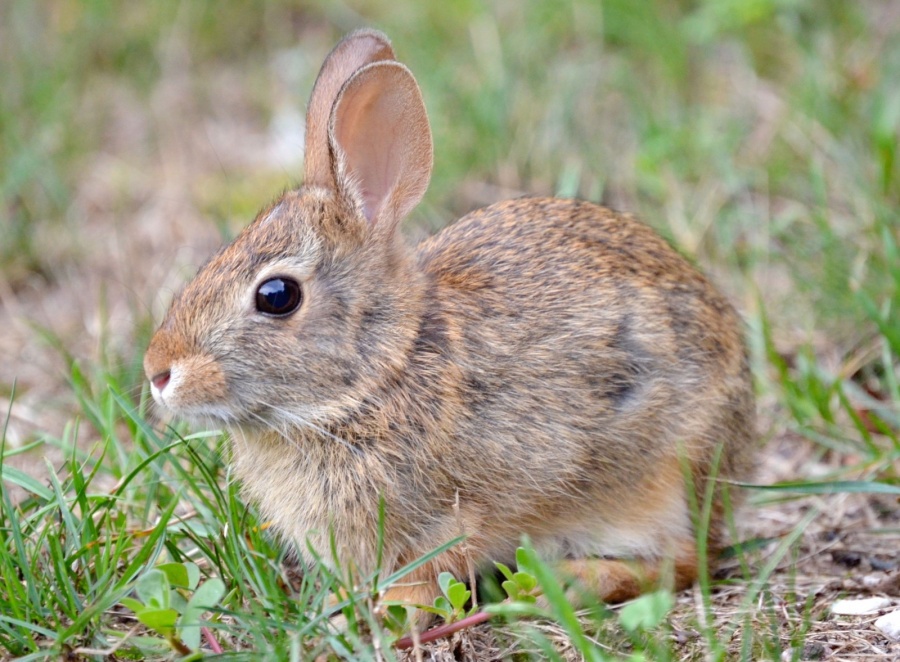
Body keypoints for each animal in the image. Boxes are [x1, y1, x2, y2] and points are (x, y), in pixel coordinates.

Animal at [146, 29, 752, 624]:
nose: (158, 372)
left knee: (687, 561)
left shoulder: (465, 513)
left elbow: (428, 574)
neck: (376, 379)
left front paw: (384, 616)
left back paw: (571, 582)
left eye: (277, 296)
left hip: (662, 478)